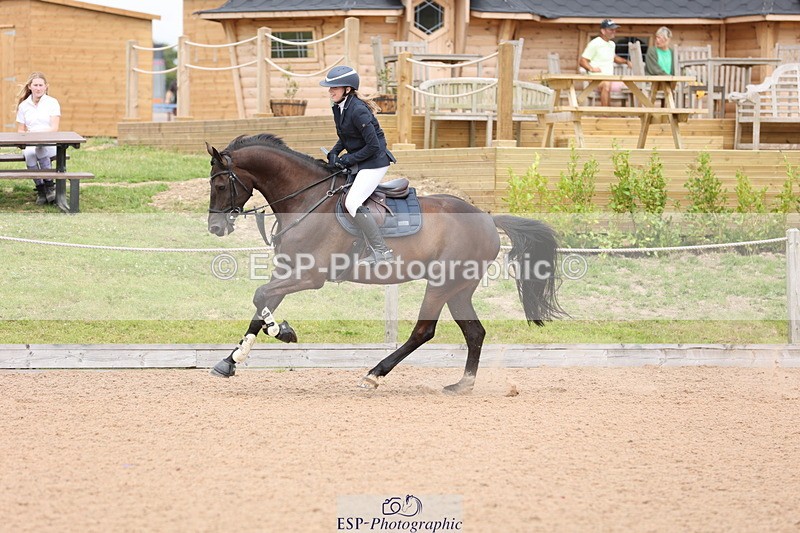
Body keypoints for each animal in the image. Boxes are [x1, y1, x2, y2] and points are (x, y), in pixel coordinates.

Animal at [206, 133, 564, 393]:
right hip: (459, 290)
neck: (307, 200)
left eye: (220, 185)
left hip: (442, 284)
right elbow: (262, 303)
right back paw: (462, 385)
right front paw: (232, 360)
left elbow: (260, 296)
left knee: (423, 331)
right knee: (475, 332)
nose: (215, 228)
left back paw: (374, 374)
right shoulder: (287, 270)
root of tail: (488, 219)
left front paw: (283, 332)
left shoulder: (310, 275)